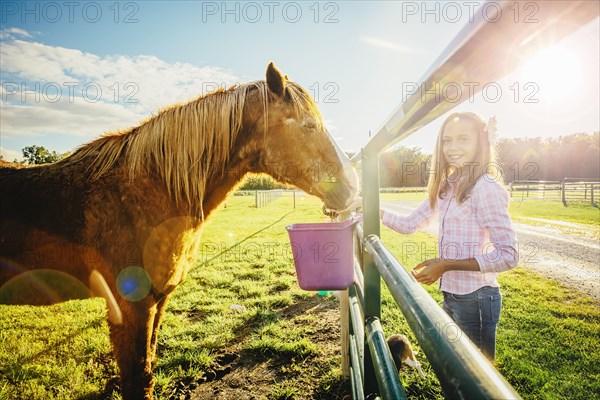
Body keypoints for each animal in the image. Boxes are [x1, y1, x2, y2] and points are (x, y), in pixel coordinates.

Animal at [0, 62, 358, 400]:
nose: (353, 186)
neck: (144, 193)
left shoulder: (157, 300)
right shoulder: (132, 306)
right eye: (309, 125)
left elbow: (147, 367)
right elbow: (137, 379)